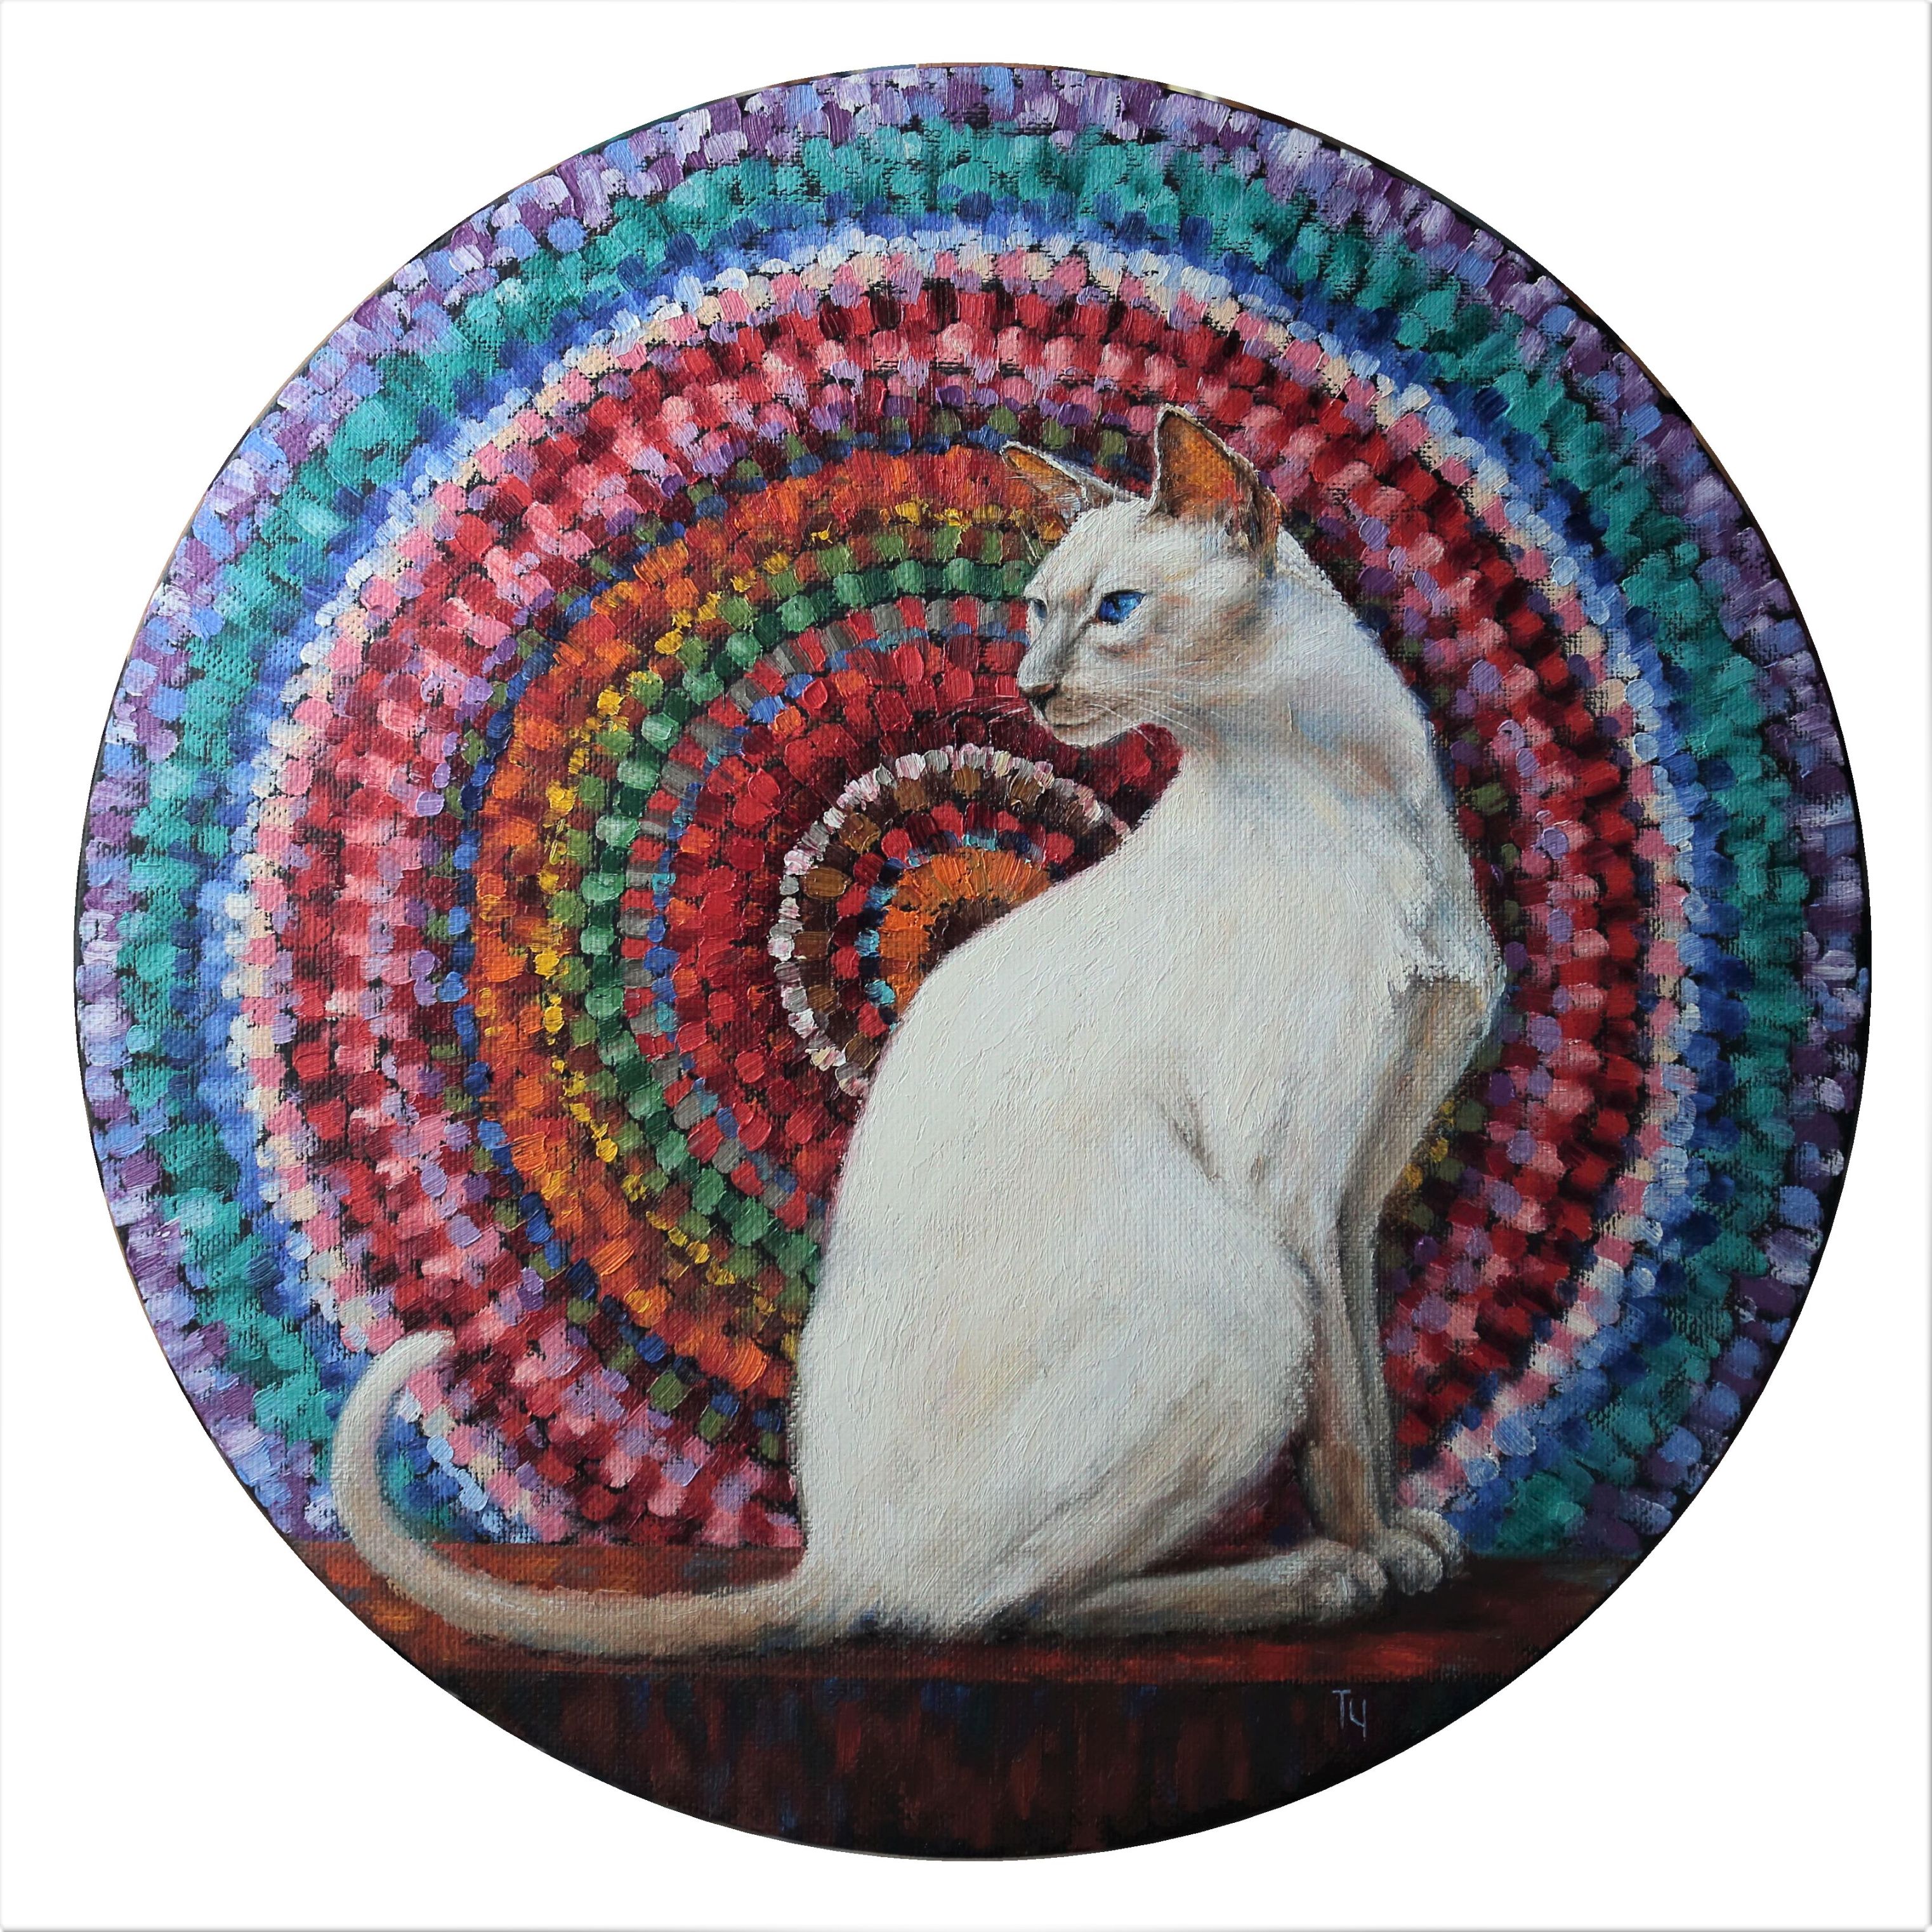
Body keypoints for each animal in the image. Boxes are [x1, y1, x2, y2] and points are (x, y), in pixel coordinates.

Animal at [331, 405, 1505, 1655]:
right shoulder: (1293, 1186)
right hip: (1248, 1293)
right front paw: (1372, 1549)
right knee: (998, 1611)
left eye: (1116, 611)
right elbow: (1344, 1428)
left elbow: (1370, 1391)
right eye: (1039, 610)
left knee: (987, 1605)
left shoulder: (1355, 1196)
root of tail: (832, 1556)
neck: (1363, 795)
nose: (1032, 688)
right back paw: (1312, 1578)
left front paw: (1405, 1533)